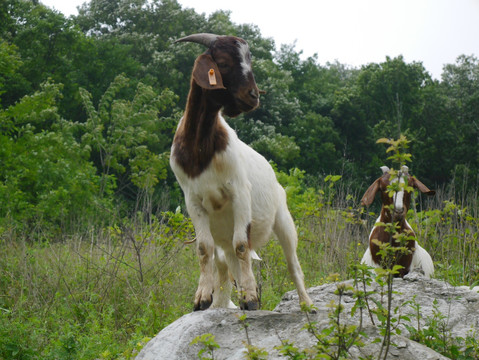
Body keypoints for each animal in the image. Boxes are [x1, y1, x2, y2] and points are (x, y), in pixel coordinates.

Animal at [170, 32, 316, 310]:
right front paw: (202, 298)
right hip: (223, 238)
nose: (253, 96)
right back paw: (222, 303)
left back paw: (306, 304)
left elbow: (241, 246)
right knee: (227, 266)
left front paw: (250, 298)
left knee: (292, 264)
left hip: (284, 220)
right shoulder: (192, 200)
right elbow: (203, 249)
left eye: (250, 62)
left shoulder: (239, 192)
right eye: (223, 63)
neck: (201, 147)